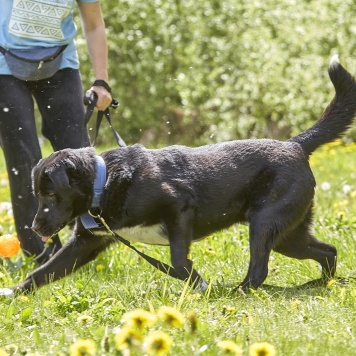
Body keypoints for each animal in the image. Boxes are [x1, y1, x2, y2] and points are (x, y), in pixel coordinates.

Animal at [0, 56, 356, 294]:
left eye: (50, 193)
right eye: (36, 194)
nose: (34, 227)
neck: (105, 182)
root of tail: (295, 144)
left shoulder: (179, 209)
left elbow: (179, 263)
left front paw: (199, 287)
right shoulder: (85, 244)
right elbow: (42, 273)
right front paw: (13, 295)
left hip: (265, 223)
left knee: (260, 268)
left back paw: (238, 292)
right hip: (287, 234)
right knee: (327, 251)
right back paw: (322, 283)